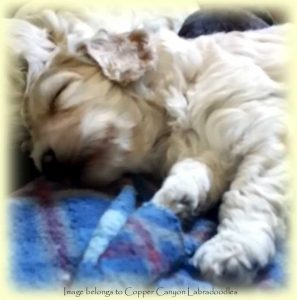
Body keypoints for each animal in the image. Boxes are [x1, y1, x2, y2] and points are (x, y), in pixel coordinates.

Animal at [8, 9, 286, 284]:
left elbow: (249, 192)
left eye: (59, 94)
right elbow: (193, 169)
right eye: (28, 148)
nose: (48, 166)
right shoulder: (205, 148)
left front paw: (231, 250)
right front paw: (175, 199)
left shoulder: (268, 132)